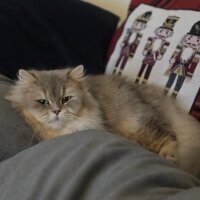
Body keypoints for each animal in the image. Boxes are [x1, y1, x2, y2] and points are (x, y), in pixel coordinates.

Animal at [5, 65, 200, 177]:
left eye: (66, 99)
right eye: (43, 102)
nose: (56, 111)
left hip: (139, 124)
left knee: (169, 137)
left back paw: (168, 156)